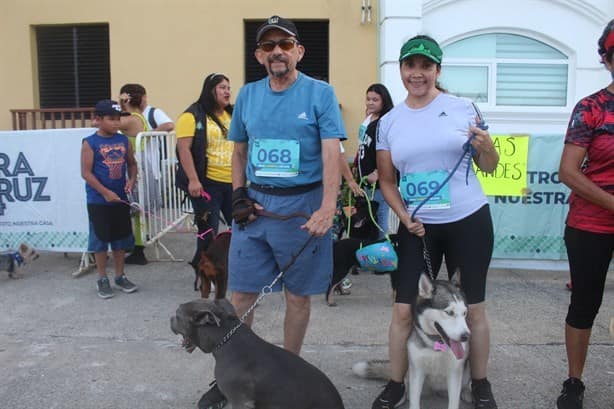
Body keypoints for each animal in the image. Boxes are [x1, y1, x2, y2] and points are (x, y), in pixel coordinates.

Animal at [356, 270, 472, 408]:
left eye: (464, 313)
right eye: (449, 312)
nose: (466, 336)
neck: (435, 344)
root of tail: (436, 391)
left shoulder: (454, 372)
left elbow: (454, 402)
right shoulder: (417, 371)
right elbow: (414, 400)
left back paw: (468, 392)